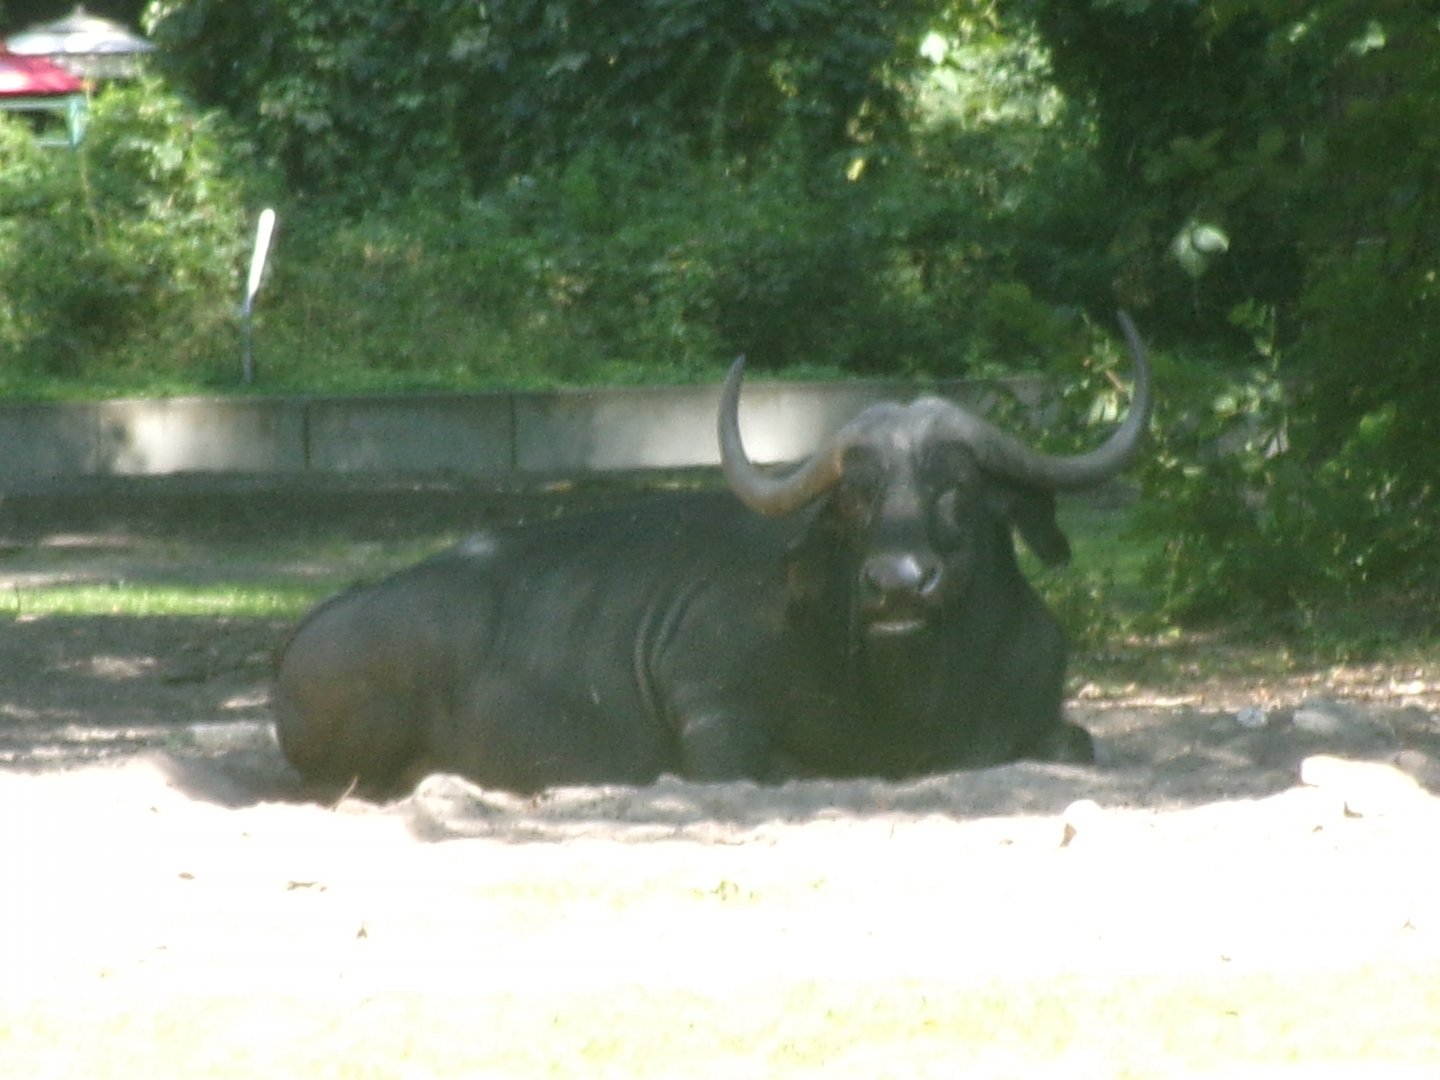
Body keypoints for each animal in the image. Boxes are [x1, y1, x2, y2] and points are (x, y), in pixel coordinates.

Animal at [275, 314, 1152, 795]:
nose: (899, 584)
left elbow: (1074, 744)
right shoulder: (713, 715)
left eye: (958, 487)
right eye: (855, 497)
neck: (916, 693)